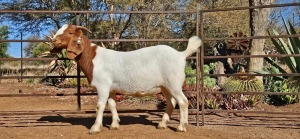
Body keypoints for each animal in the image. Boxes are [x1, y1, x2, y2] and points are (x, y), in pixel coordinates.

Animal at [49, 24, 202, 134]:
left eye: (70, 32)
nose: (53, 40)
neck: (93, 58)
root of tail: (181, 55)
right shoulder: (111, 89)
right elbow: (112, 105)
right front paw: (114, 124)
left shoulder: (103, 86)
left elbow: (100, 106)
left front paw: (95, 128)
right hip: (165, 86)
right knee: (171, 102)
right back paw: (162, 124)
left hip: (174, 83)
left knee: (183, 101)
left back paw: (181, 127)